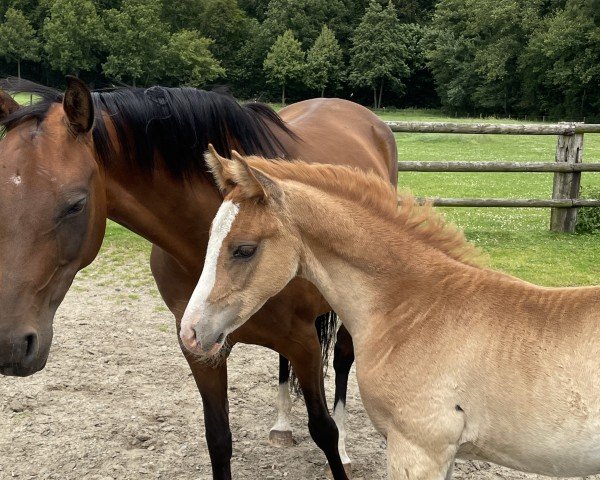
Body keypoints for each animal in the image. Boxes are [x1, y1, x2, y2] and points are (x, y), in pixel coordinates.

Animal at [0, 77, 398, 478]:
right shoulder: (200, 349)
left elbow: (323, 430)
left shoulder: (304, 344)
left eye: (76, 204)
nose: (11, 345)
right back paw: (282, 425)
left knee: (343, 361)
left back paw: (345, 447)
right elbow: (218, 439)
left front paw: (337, 448)